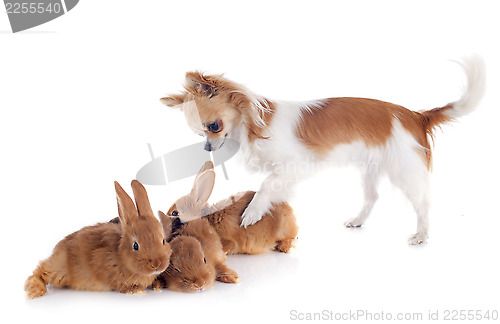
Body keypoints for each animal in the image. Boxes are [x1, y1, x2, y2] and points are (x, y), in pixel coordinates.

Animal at [24, 180, 172, 298]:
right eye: (136, 245)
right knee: (40, 270)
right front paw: (136, 290)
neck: (120, 255)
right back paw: (34, 290)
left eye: (163, 241)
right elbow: (120, 284)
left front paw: (157, 286)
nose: (157, 264)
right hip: (59, 270)